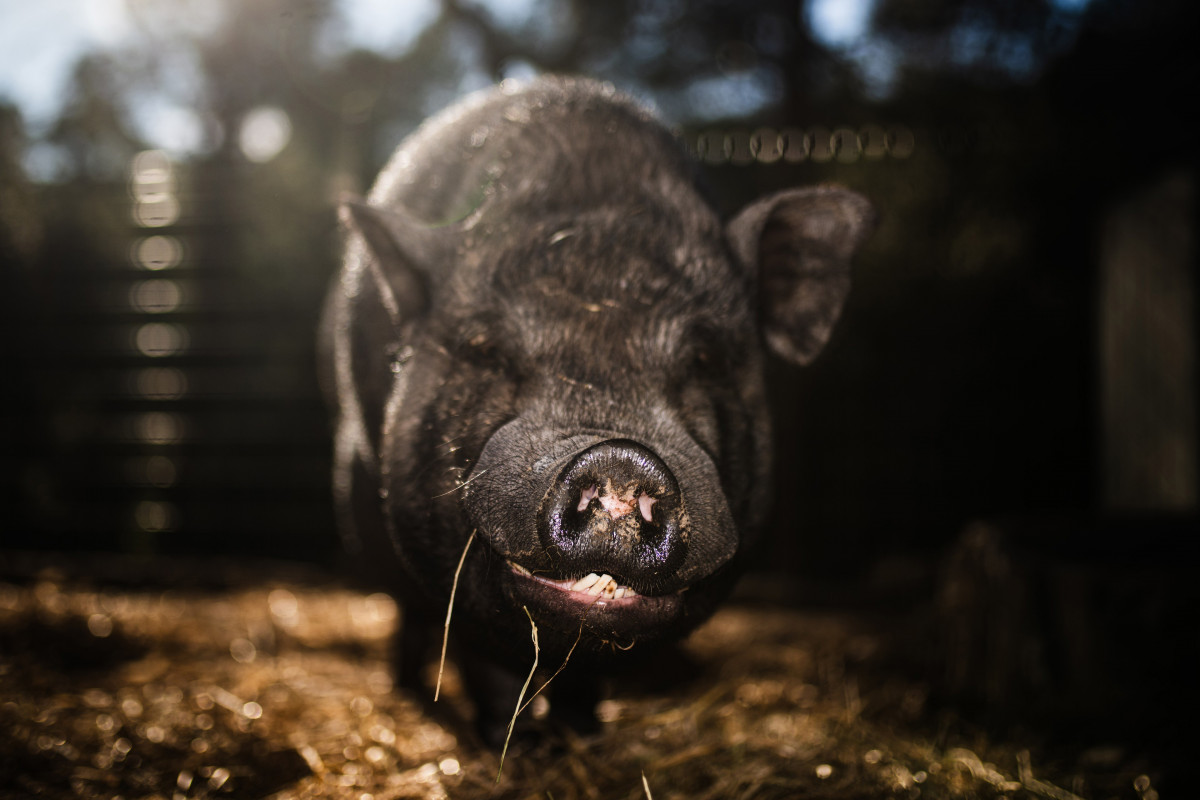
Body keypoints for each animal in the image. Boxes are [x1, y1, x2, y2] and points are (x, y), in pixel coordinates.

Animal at [319, 76, 874, 745]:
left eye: (706, 358)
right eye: (487, 349)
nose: (621, 457)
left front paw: (581, 738)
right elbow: (483, 653)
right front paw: (513, 744)